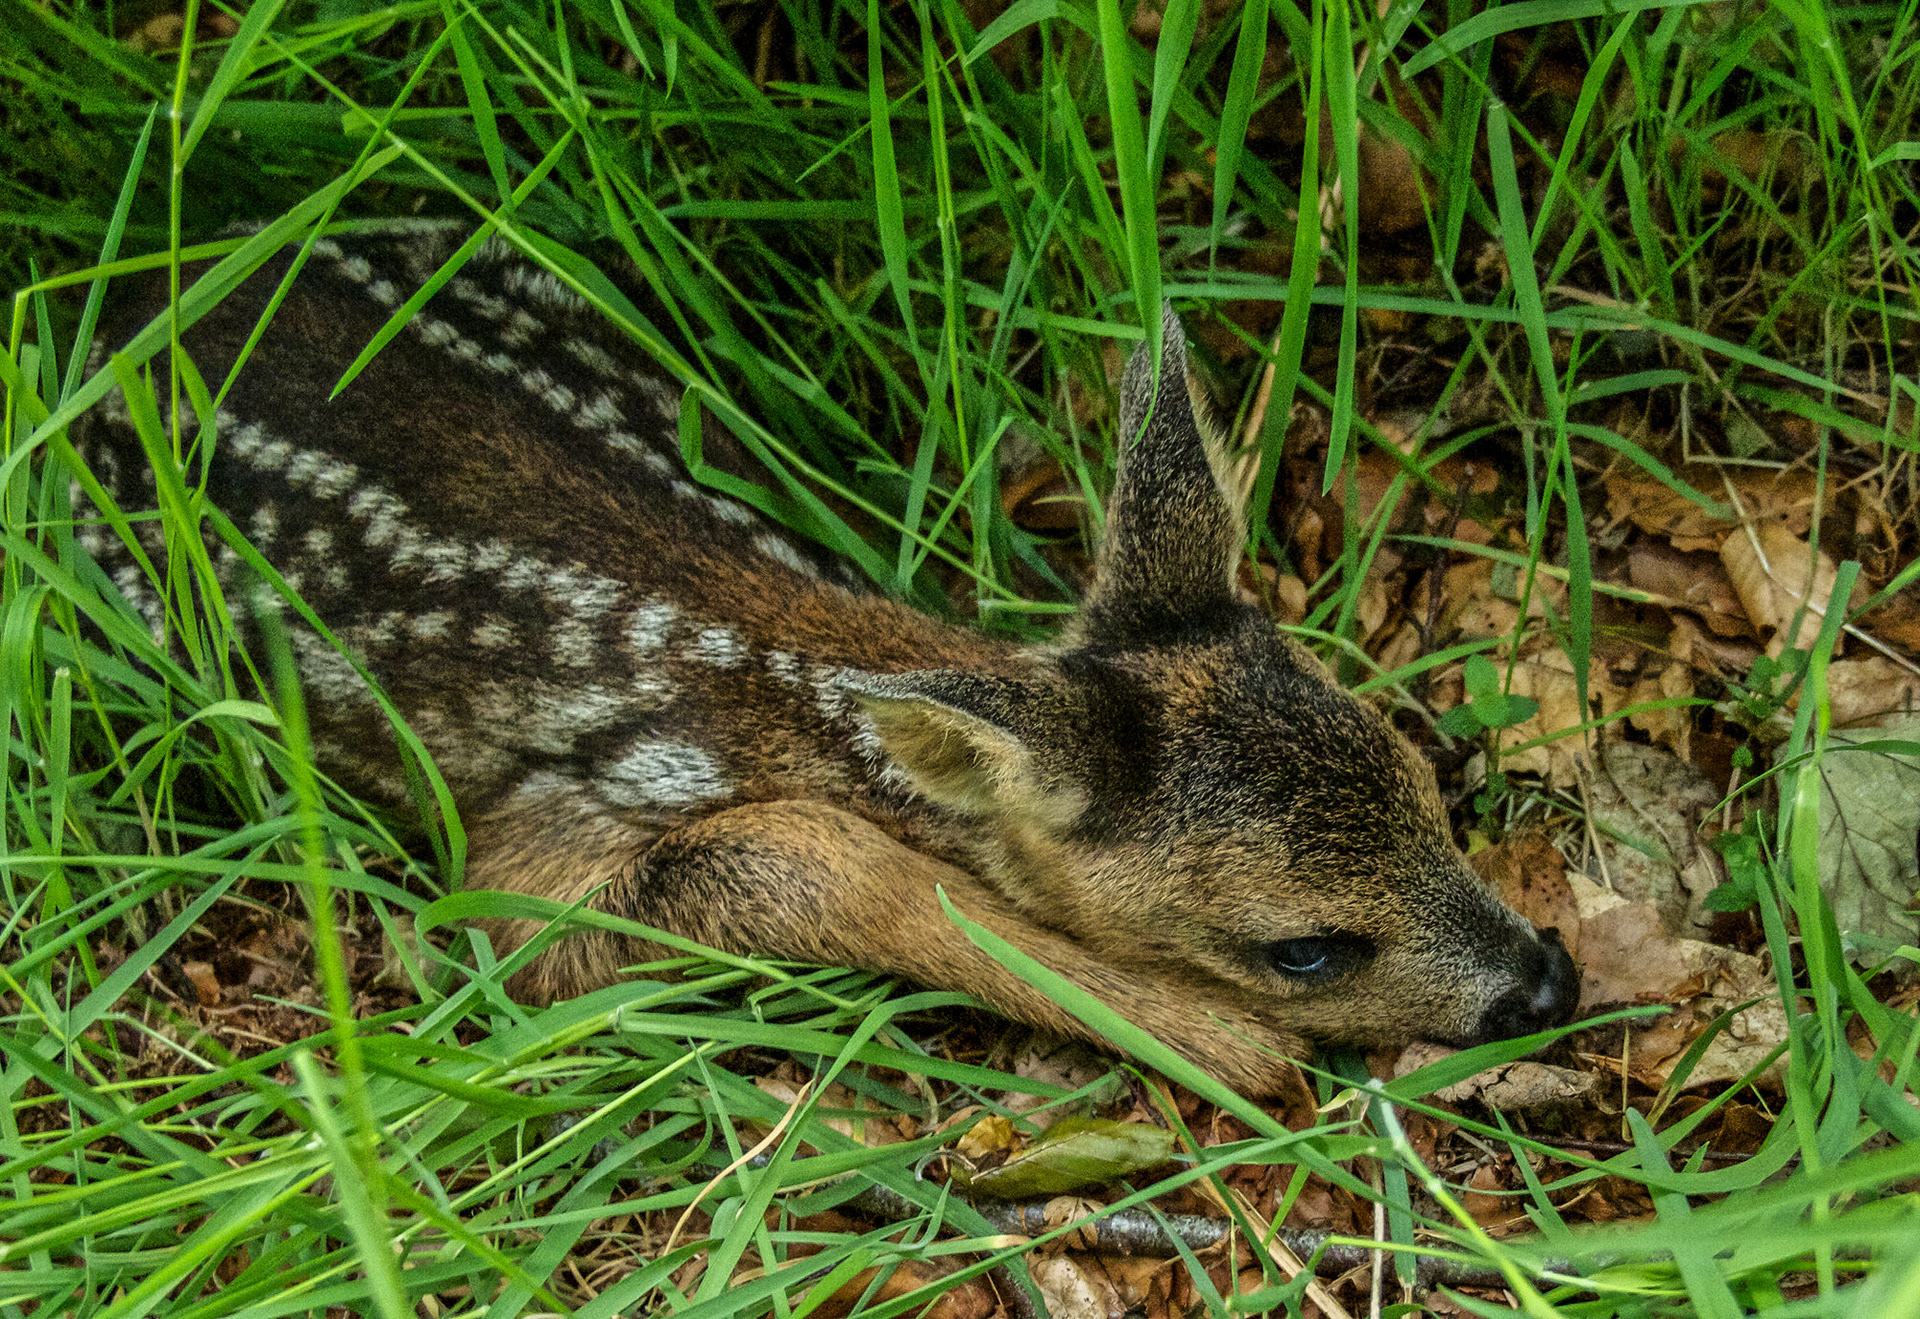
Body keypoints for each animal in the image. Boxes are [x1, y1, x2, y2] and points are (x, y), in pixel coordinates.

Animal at [74, 222, 1579, 1096]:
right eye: (1306, 948)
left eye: (1424, 776)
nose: (1546, 981)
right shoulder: (548, 837)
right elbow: (809, 864)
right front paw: (1218, 1041)